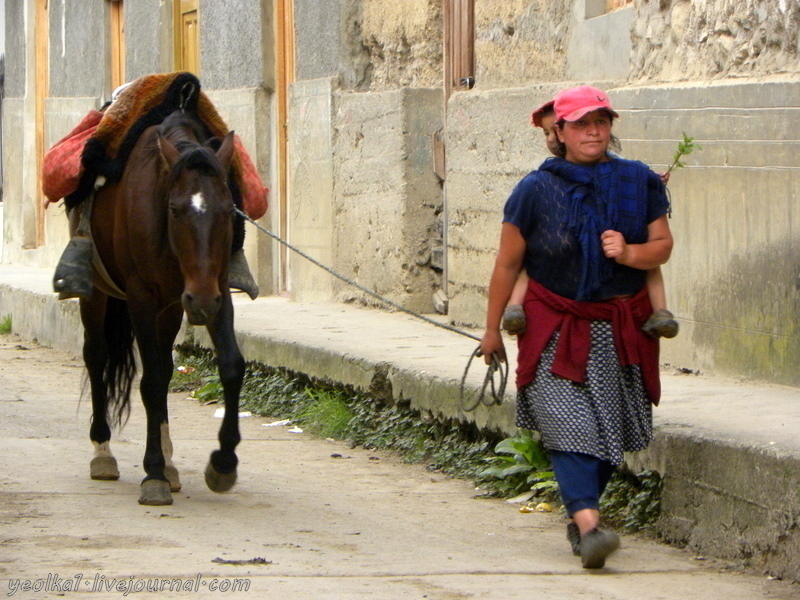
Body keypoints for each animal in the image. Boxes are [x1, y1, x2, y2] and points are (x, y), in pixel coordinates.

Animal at [81, 109, 245, 506]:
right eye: (175, 210)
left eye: (227, 210)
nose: (200, 302)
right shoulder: (142, 297)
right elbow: (152, 380)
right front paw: (152, 472)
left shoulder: (217, 288)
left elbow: (231, 366)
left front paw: (222, 464)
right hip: (97, 290)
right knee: (96, 355)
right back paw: (103, 452)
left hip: (172, 307)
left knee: (167, 365)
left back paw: (171, 465)